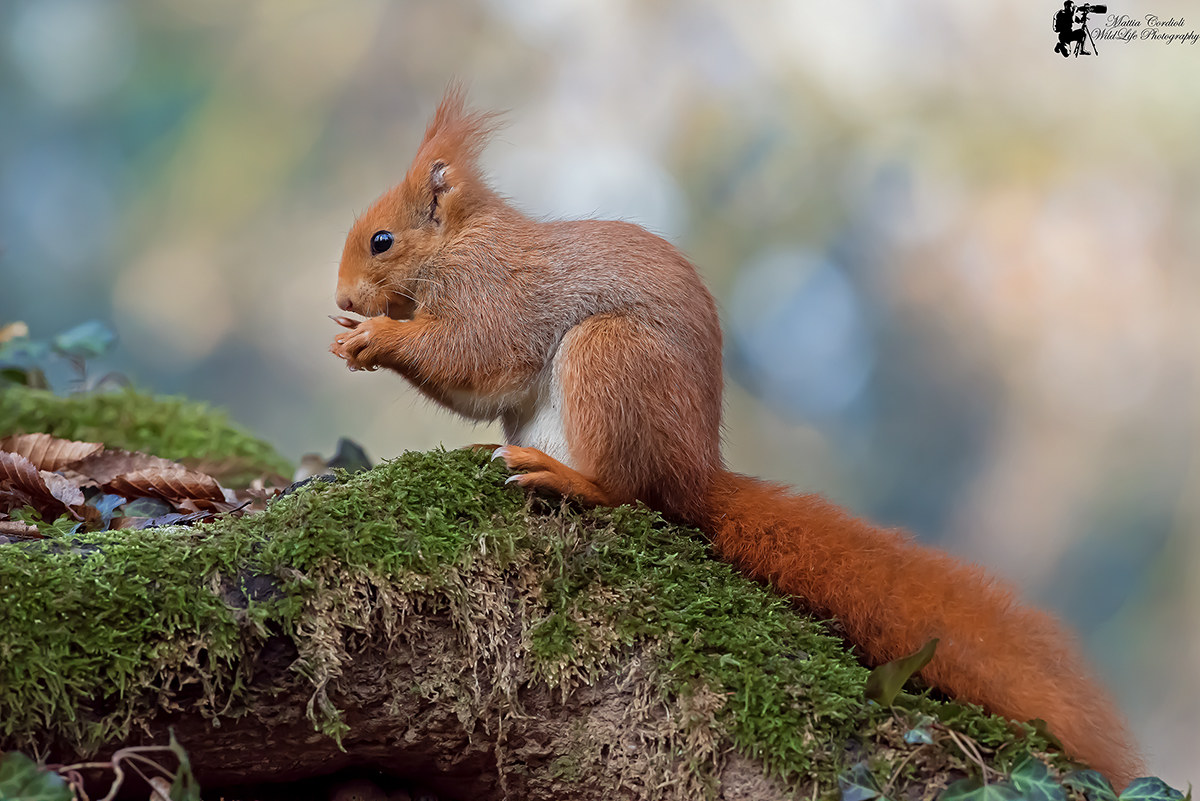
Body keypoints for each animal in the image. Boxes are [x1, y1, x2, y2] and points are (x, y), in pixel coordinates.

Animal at [329, 88, 1144, 786]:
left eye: (381, 240)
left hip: (610, 358)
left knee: (627, 493)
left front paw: (374, 337)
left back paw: (566, 477)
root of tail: (696, 474)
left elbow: (473, 353)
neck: (459, 246)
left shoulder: (495, 294)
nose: (340, 298)